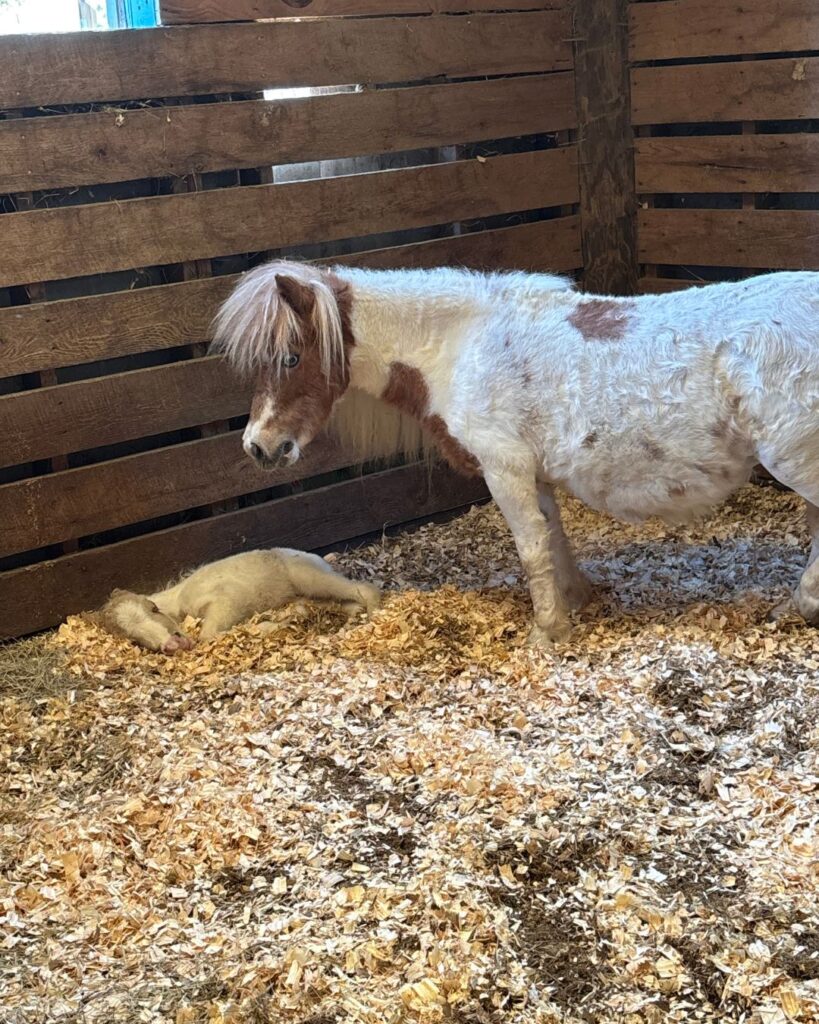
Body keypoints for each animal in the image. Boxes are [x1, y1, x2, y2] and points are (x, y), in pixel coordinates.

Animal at [95, 549, 381, 653]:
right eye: (133, 639)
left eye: (153, 609)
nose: (174, 644)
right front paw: (278, 623)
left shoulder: (225, 599)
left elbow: (209, 634)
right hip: (312, 593)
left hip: (310, 577)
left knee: (365, 590)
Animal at [211, 260, 819, 646]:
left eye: (291, 357)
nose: (258, 446)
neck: (461, 347)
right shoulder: (535, 472)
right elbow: (554, 538)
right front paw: (574, 602)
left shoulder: (504, 469)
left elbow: (529, 549)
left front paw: (546, 632)